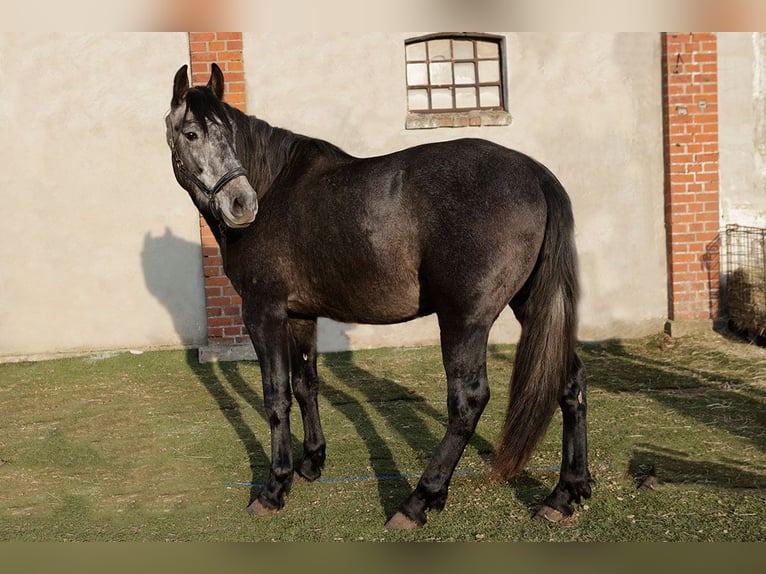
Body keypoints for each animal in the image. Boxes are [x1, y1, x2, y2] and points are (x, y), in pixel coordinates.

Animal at [165, 63, 592, 529]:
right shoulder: (300, 316)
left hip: (464, 318)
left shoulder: (263, 312)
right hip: (534, 305)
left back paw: (418, 500)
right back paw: (564, 494)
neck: (274, 185)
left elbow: (276, 397)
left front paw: (274, 488)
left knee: (468, 401)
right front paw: (311, 463)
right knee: (570, 382)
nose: (242, 204)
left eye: (226, 132)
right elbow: (306, 385)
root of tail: (535, 174)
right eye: (191, 133)